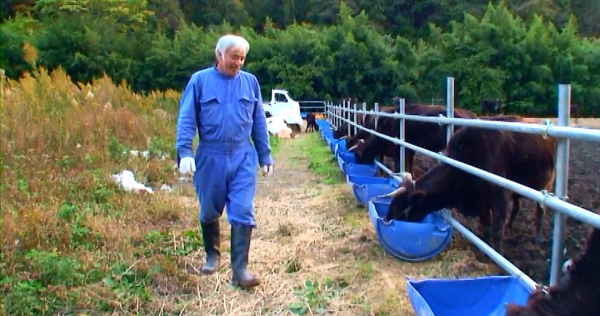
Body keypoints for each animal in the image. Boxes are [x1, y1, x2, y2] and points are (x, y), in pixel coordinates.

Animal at [380, 116, 556, 256]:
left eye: (400, 208)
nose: (385, 219)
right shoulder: (482, 204)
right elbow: (486, 227)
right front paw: (485, 253)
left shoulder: (500, 198)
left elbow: (497, 231)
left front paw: (498, 258)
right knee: (517, 206)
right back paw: (511, 227)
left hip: (546, 185)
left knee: (540, 211)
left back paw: (537, 242)